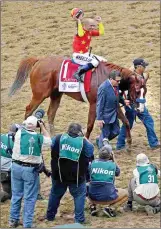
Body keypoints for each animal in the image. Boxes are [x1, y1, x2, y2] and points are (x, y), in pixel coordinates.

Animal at [8, 56, 142, 141]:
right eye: (136, 89)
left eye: (143, 89)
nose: (138, 108)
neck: (105, 76)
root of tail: (39, 60)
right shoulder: (94, 103)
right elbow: (90, 124)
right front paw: (86, 140)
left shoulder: (113, 102)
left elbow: (125, 121)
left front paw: (129, 143)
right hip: (40, 94)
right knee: (29, 109)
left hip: (56, 94)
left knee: (51, 113)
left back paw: (52, 135)